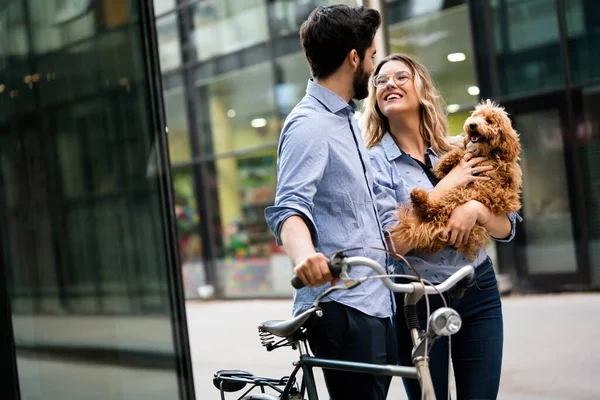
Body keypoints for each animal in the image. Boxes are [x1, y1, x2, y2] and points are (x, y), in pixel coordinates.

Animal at [390, 100, 520, 260]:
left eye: (489, 121)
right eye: (475, 116)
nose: (472, 125)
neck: (490, 152)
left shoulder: (488, 182)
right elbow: (461, 152)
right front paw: (442, 166)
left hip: (463, 194)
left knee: (437, 210)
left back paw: (420, 199)